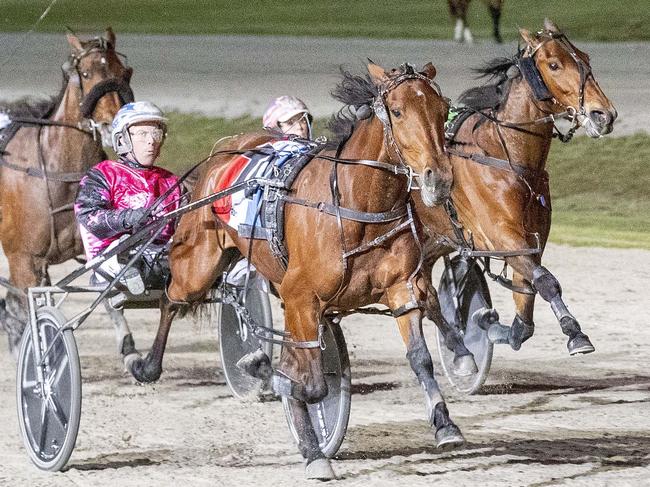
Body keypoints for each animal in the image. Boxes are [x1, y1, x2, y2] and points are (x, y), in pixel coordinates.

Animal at [0, 29, 133, 358]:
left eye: (124, 73)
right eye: (85, 73)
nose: (113, 124)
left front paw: (132, 354)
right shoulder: (24, 259)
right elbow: (27, 309)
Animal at [129, 63, 460, 482]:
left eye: (442, 107)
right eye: (398, 112)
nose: (440, 179)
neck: (354, 204)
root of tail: (226, 148)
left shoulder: (401, 287)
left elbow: (419, 357)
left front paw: (445, 423)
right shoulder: (301, 297)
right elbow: (310, 383)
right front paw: (308, 441)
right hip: (197, 261)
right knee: (172, 299)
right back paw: (147, 365)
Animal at [416, 19, 612, 370]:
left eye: (586, 58)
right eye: (554, 64)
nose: (603, 115)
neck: (505, 154)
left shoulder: (533, 237)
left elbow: (527, 298)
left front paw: (493, 326)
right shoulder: (499, 235)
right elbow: (546, 281)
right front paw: (575, 333)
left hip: (432, 241)